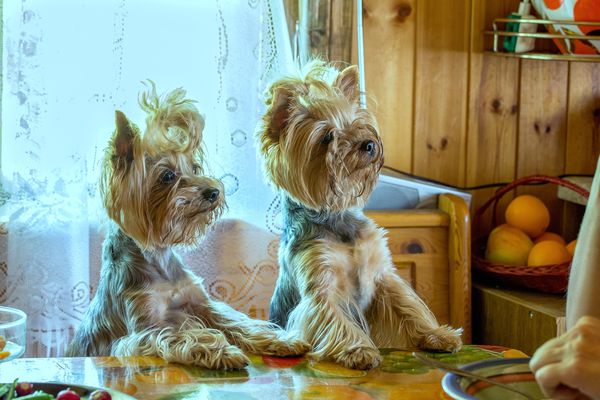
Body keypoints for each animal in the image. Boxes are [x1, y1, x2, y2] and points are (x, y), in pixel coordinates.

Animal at [67, 81, 310, 368]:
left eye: (194, 167)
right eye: (167, 176)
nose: (213, 192)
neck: (159, 258)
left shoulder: (201, 304)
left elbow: (238, 322)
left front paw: (280, 339)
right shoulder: (144, 327)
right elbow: (181, 335)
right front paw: (222, 351)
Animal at [255, 61, 462, 370]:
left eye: (356, 124)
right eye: (327, 137)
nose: (368, 144)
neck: (336, 216)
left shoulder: (381, 276)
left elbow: (408, 306)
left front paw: (437, 335)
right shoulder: (321, 284)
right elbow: (334, 319)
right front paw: (359, 350)